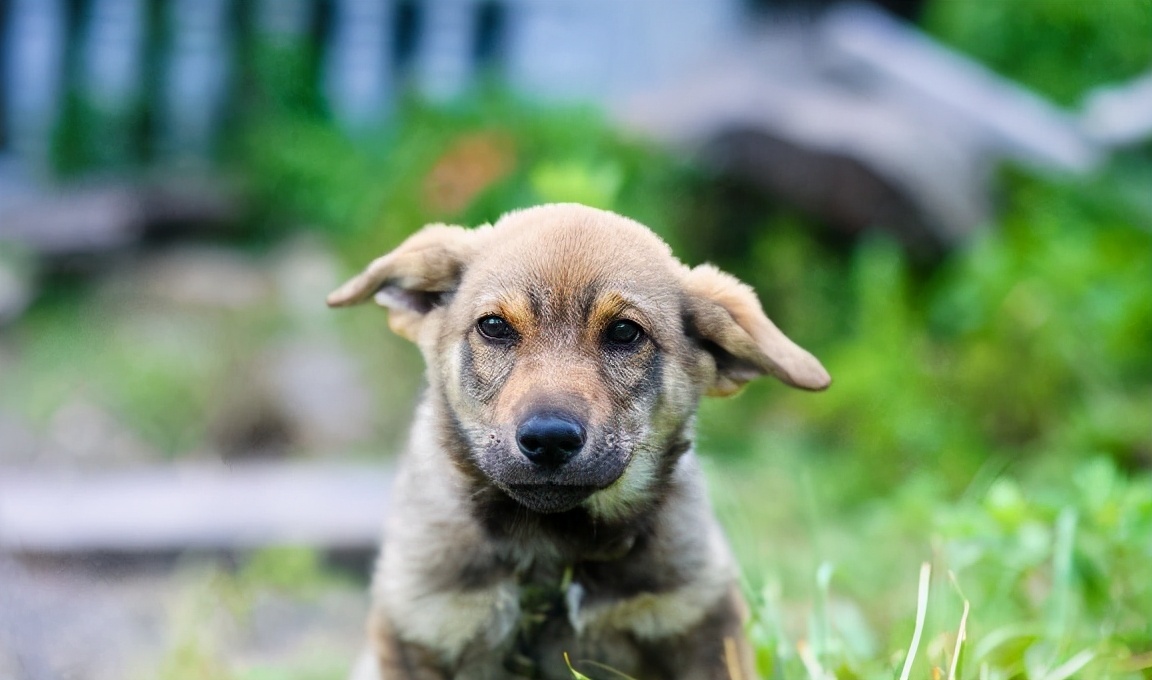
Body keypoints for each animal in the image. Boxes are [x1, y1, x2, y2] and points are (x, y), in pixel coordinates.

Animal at [329, 205, 834, 680]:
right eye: (494, 326)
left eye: (625, 332)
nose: (549, 439)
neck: (553, 551)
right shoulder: (420, 630)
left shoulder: (701, 624)